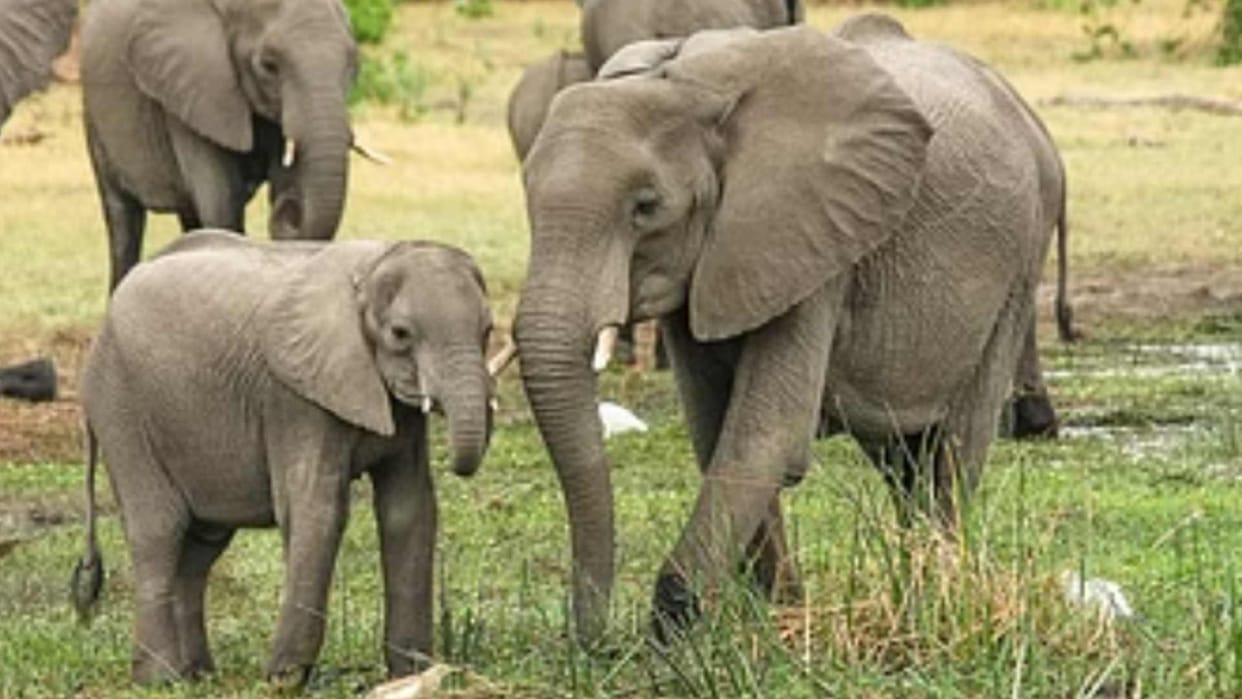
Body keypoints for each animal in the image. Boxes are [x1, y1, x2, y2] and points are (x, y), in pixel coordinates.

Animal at [71, 230, 514, 685]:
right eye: (401, 333)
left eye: (487, 330)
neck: (371, 267)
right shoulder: (295, 399)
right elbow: (318, 509)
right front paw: (285, 679)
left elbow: (409, 510)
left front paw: (409, 675)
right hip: (121, 410)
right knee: (159, 531)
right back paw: (160, 679)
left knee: (201, 545)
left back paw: (199, 676)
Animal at [81, 0, 360, 291]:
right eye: (269, 66)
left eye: (353, 65)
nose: (289, 208)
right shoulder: (195, 93)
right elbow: (221, 207)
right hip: (95, 118)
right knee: (122, 219)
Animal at [512, 17, 1071, 644]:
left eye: (646, 207)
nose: (595, 640)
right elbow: (715, 432)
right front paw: (777, 615)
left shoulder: (815, 240)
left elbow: (766, 434)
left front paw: (674, 633)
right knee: (902, 455)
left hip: (1021, 258)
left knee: (955, 448)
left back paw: (938, 598)